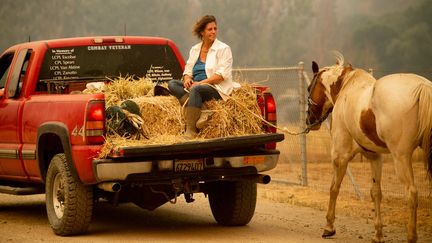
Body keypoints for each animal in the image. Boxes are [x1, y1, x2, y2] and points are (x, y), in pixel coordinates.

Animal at [306, 52, 432, 242]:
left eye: (309, 88)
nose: (309, 121)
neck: (346, 88)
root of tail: (422, 87)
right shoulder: (375, 157)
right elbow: (376, 192)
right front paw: (378, 234)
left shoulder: (340, 156)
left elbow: (334, 188)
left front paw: (329, 227)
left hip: (401, 158)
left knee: (411, 193)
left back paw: (411, 235)